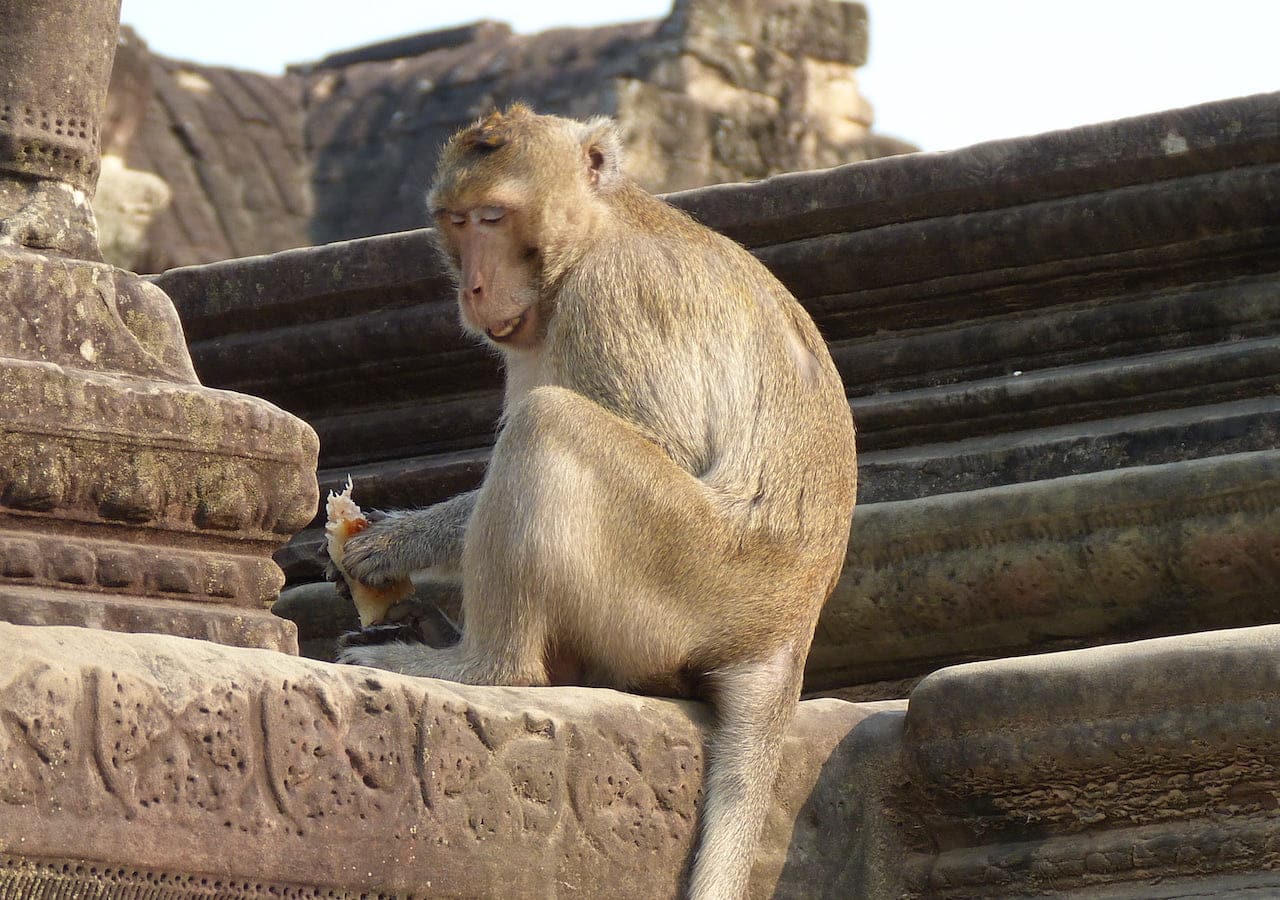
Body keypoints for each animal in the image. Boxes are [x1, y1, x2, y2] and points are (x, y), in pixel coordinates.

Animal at [335, 103, 860, 896]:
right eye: (456, 223)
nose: (473, 289)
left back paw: (480, 669)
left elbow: (662, 440)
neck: (596, 230)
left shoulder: (615, 298)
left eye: (494, 217)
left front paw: (397, 542)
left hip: (690, 576)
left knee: (550, 423)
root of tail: (782, 636)